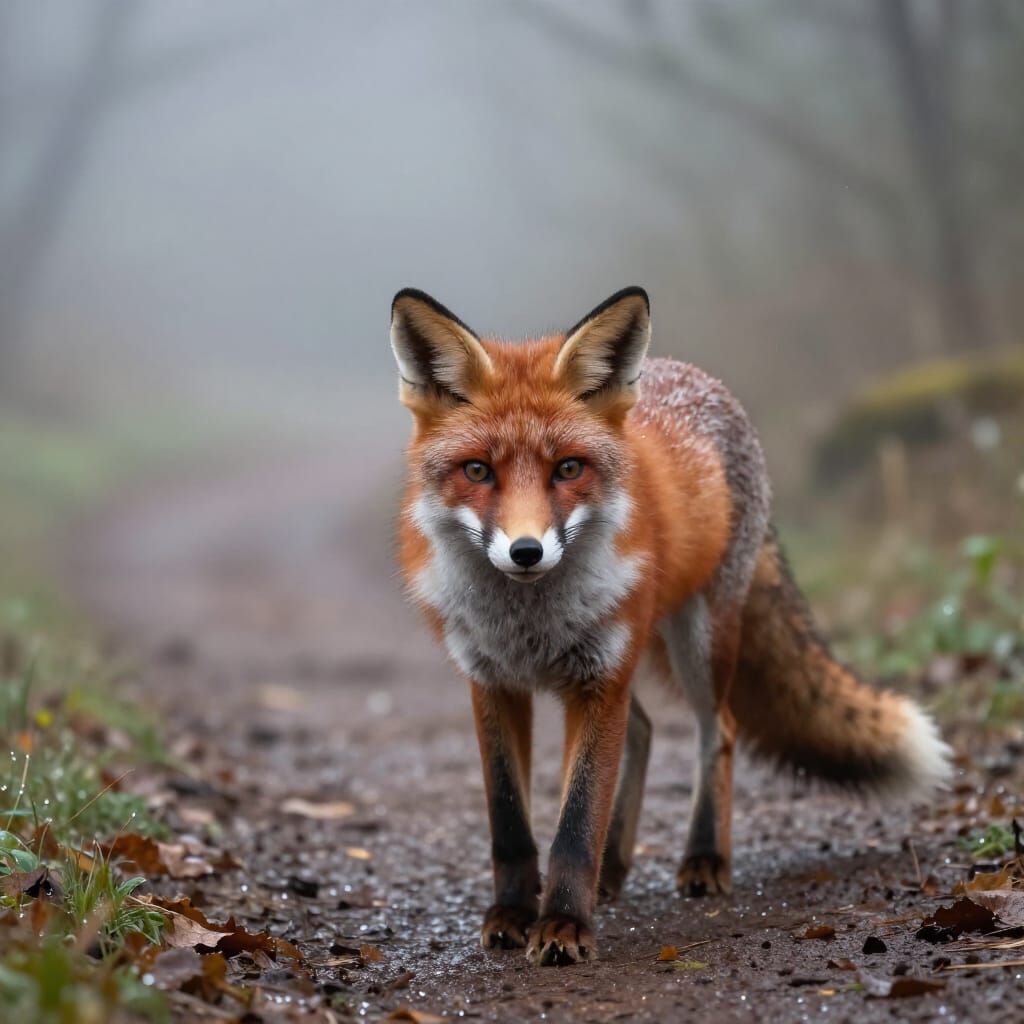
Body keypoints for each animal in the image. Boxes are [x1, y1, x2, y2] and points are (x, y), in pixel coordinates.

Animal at [390, 285, 951, 967]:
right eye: (477, 472)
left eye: (567, 469)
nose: (526, 552)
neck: (529, 623)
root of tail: (693, 373)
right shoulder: (492, 681)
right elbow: (511, 822)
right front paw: (515, 914)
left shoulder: (600, 678)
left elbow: (576, 822)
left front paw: (564, 925)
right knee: (646, 730)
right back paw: (613, 869)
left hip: (697, 643)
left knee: (720, 730)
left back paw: (704, 858)